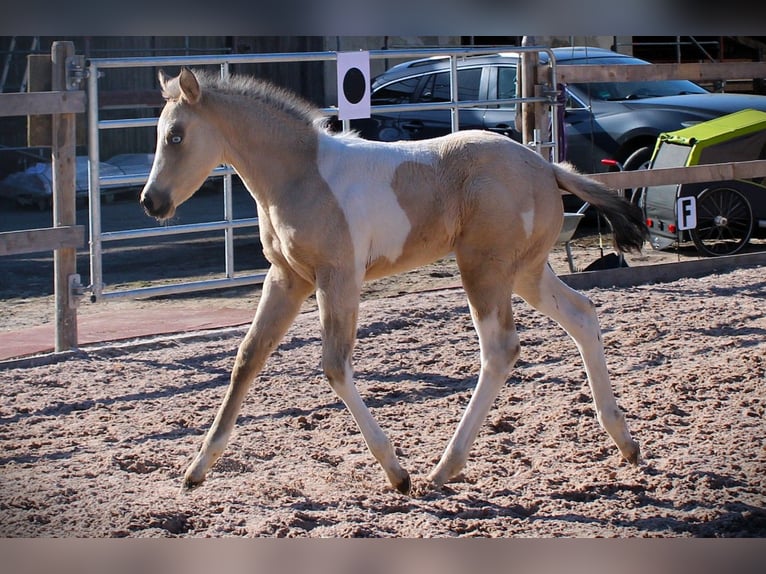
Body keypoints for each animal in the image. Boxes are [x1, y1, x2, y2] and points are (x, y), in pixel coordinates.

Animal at [140, 67, 647, 495]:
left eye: (176, 136)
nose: (151, 202)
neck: (302, 175)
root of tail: (547, 166)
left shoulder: (338, 278)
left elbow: (334, 366)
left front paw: (396, 472)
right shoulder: (287, 279)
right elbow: (247, 358)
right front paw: (196, 470)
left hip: (483, 269)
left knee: (501, 350)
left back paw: (443, 468)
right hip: (525, 271)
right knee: (583, 316)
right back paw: (624, 440)